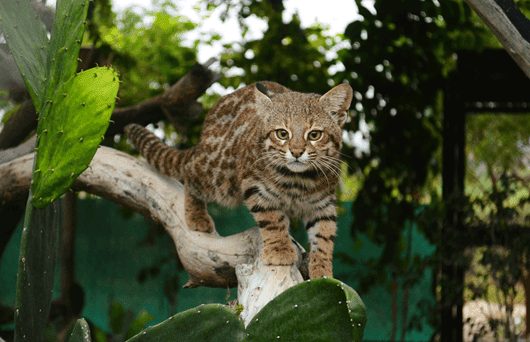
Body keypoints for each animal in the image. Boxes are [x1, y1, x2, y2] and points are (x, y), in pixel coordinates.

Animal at [124, 81, 350, 280]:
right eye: (282, 133)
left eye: (314, 135)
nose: (296, 152)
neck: (297, 178)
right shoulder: (256, 188)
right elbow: (272, 221)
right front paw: (279, 250)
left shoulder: (323, 204)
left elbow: (324, 237)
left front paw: (322, 269)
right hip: (218, 175)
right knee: (190, 173)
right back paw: (196, 215)